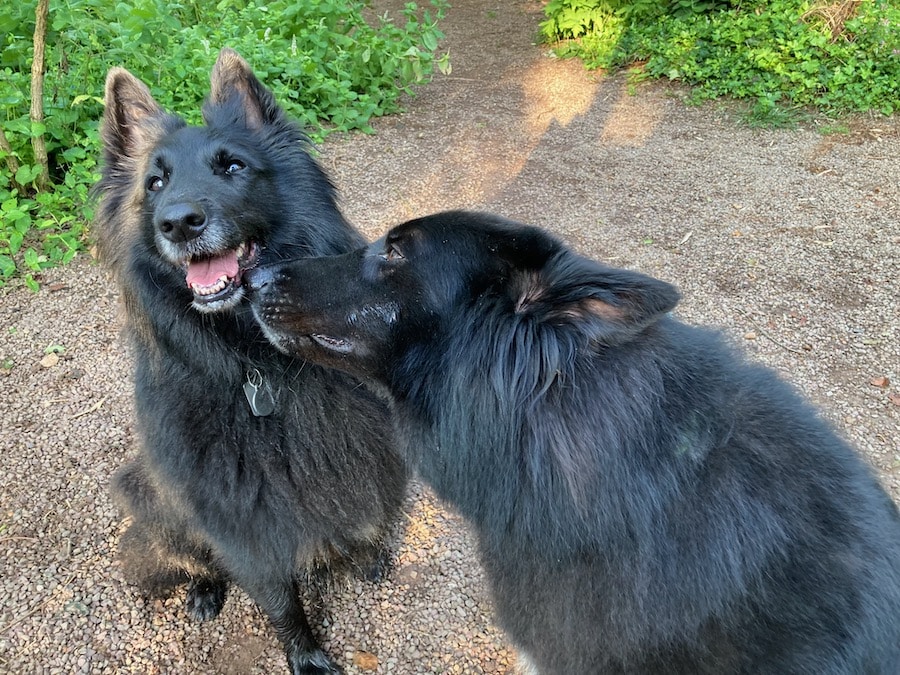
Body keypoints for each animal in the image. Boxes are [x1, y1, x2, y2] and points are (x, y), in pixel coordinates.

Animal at [95, 48, 408, 675]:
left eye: (232, 167)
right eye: (156, 182)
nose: (178, 221)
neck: (256, 362)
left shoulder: (361, 449)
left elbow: (360, 511)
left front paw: (365, 556)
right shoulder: (237, 520)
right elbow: (278, 598)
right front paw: (306, 655)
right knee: (194, 558)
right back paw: (204, 588)